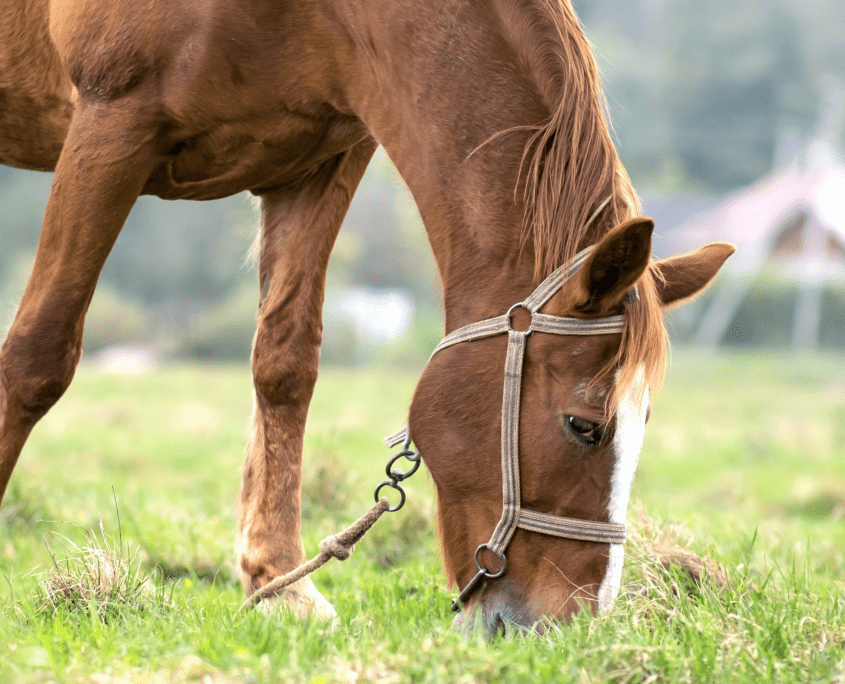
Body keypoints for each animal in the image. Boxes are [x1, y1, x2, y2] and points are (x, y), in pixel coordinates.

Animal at [0, 0, 728, 636]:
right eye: (584, 426)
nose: (564, 627)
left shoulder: (318, 164)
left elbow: (285, 365)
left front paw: (280, 585)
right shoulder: (112, 123)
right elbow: (38, 354)